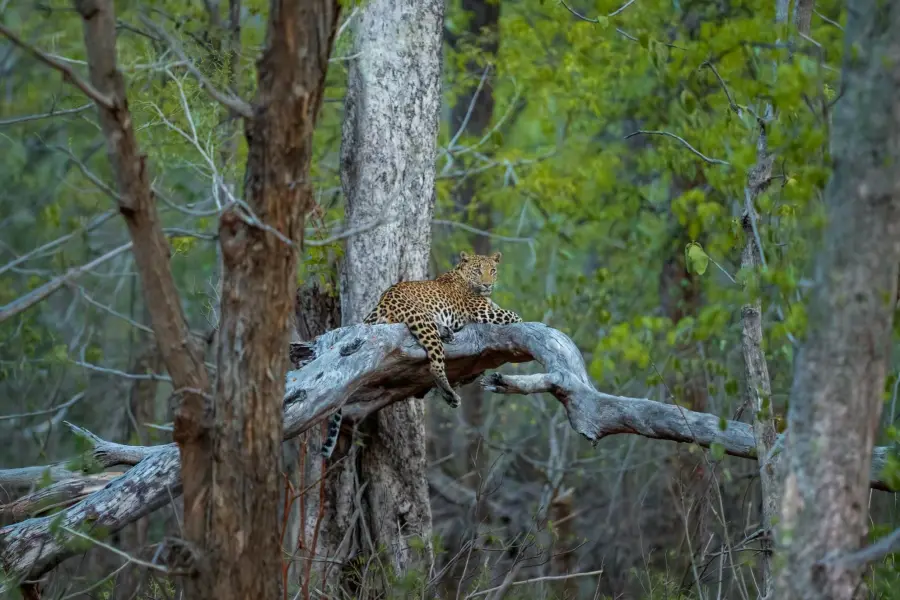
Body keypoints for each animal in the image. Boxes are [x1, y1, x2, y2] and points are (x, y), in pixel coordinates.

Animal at [320, 250, 522, 458]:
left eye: (493, 270)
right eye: (477, 271)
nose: (487, 284)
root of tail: (383, 301)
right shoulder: (484, 313)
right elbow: (514, 315)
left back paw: (446, 333)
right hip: (424, 323)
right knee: (435, 365)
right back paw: (450, 393)